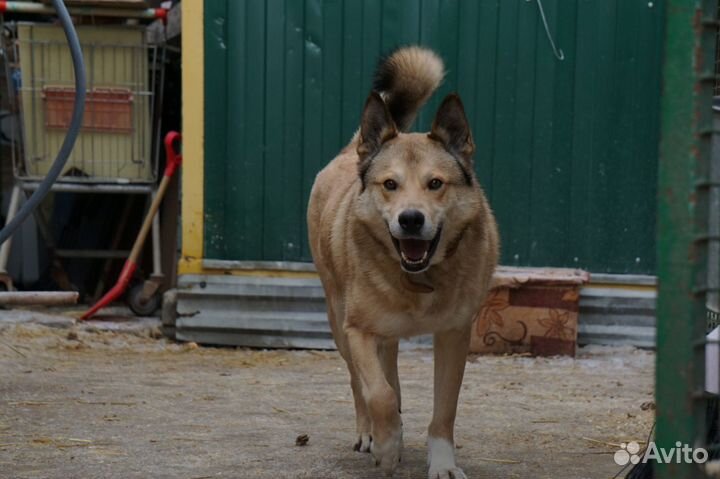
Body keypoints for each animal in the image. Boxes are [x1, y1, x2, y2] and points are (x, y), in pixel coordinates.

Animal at [306, 46, 498, 479]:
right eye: (390, 184)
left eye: (436, 183)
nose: (411, 219)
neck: (418, 280)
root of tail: (354, 149)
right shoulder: (359, 330)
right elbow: (377, 392)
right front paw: (387, 445)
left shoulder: (454, 335)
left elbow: (443, 409)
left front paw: (442, 462)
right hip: (338, 318)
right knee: (361, 383)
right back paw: (370, 434)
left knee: (389, 367)